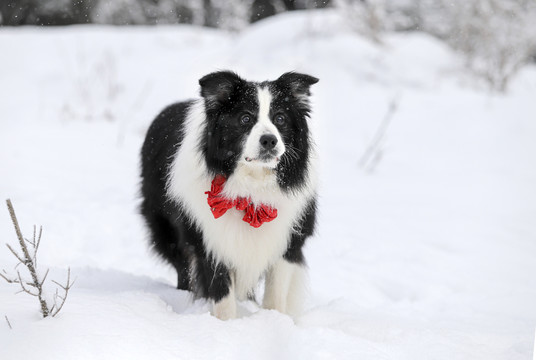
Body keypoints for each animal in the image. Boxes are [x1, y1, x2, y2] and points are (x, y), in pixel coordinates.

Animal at [139, 71, 318, 320]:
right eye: (245, 118)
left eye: (280, 118)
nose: (269, 140)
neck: (251, 188)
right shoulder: (209, 239)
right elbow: (222, 295)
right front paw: (226, 325)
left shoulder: (288, 241)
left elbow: (275, 297)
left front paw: (273, 322)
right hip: (169, 230)